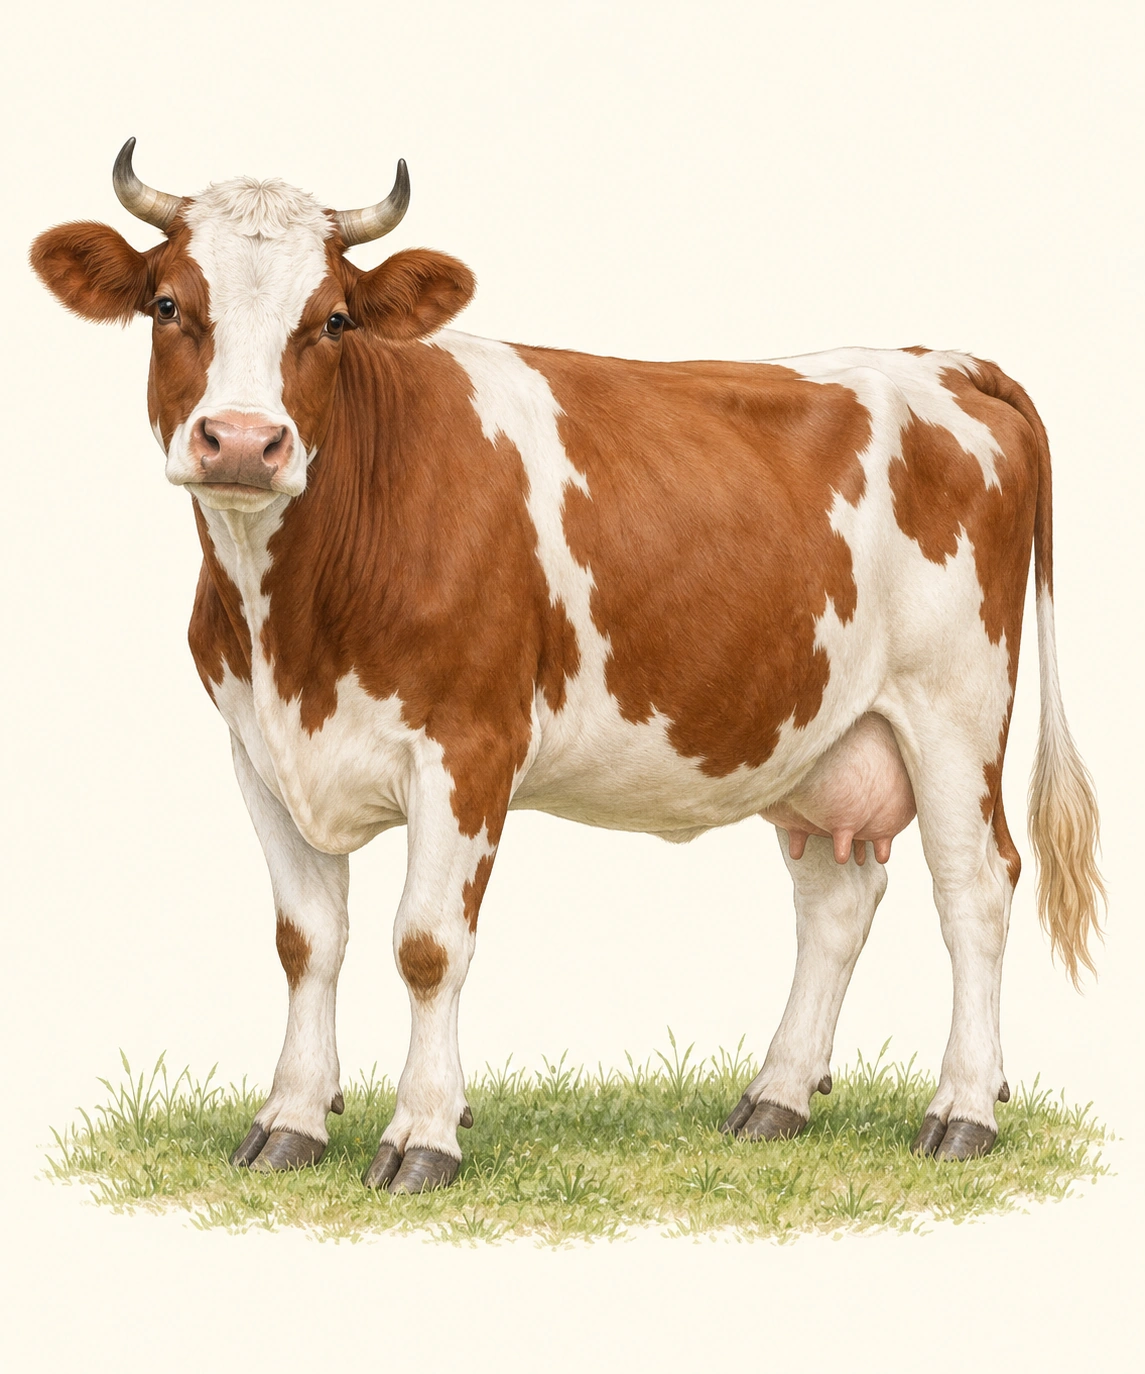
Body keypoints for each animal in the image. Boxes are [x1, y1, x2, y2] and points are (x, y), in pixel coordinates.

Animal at [30, 141, 1103, 1194]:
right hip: (815, 732)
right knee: (836, 904)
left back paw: (962, 1110)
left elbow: (427, 945)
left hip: (956, 709)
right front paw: (290, 1120)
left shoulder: (467, 747)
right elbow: (307, 943)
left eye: (332, 318)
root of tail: (942, 360)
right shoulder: (257, 749)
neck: (289, 631)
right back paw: (776, 1099)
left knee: (975, 889)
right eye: (168, 306)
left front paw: (423, 1134)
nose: (245, 443)